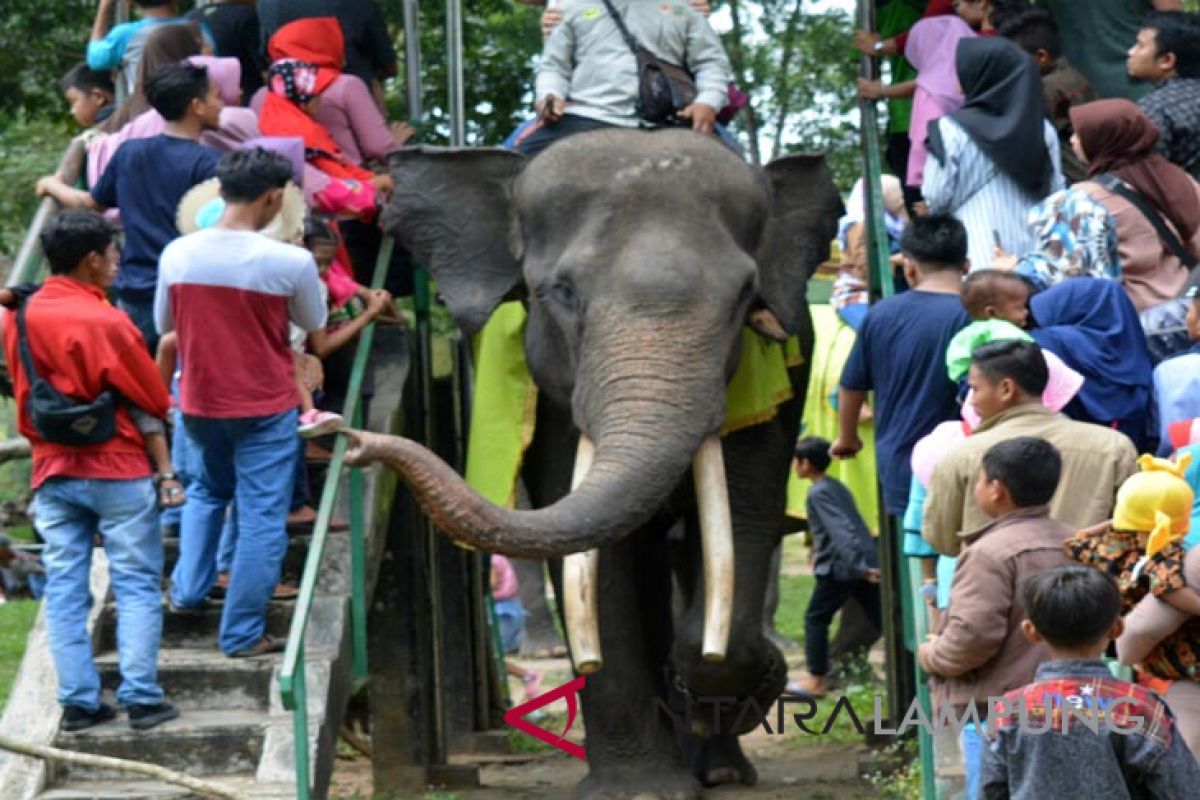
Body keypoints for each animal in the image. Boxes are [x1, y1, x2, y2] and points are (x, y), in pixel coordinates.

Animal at [343, 131, 840, 800]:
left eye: (744, 296)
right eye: (561, 293)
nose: (353, 441)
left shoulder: (772, 376)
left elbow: (742, 515)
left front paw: (750, 685)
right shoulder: (552, 400)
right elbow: (591, 556)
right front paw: (639, 790)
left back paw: (718, 767)